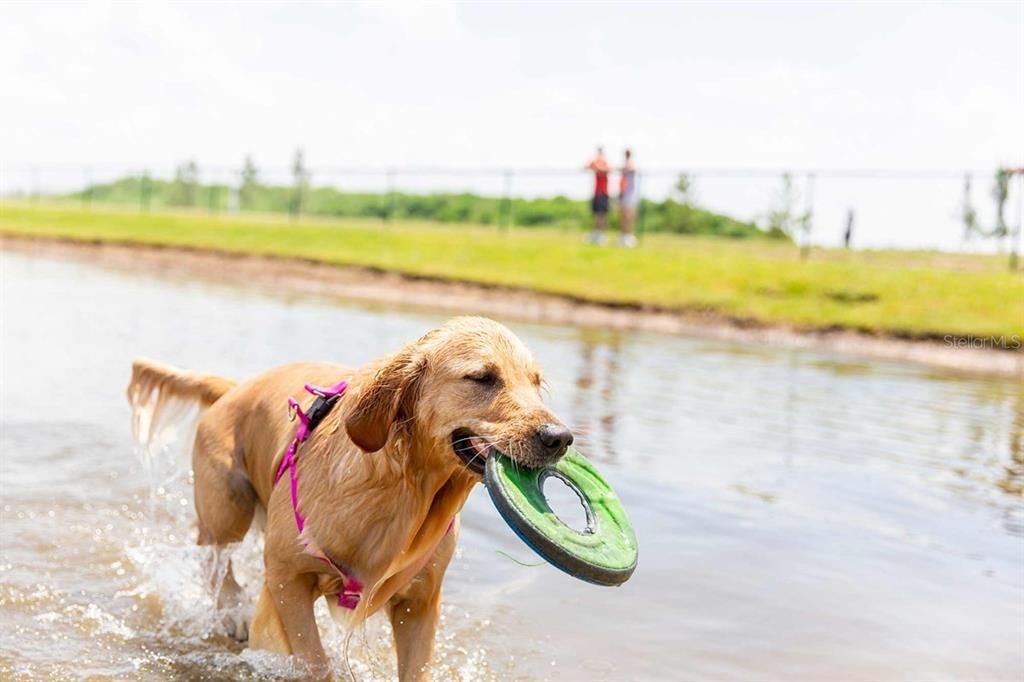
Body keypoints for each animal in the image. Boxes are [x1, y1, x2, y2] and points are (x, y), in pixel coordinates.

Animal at [126, 315, 573, 675]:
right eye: (483, 377)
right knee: (214, 556)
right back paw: (231, 611)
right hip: (228, 506)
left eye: (536, 384)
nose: (560, 438)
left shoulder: (421, 601)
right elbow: (314, 662)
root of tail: (235, 387)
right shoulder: (287, 578)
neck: (405, 495)